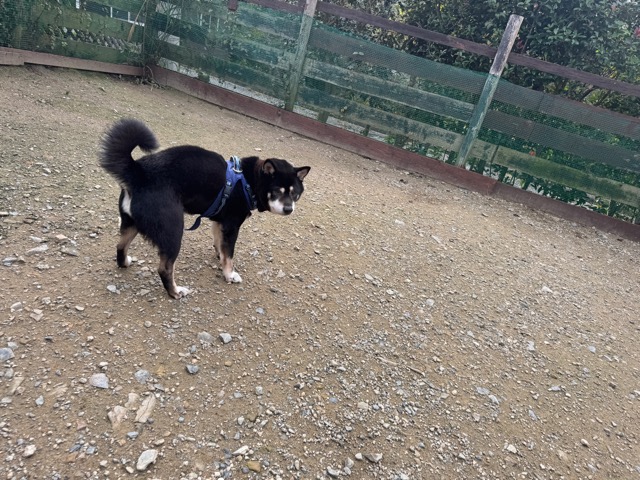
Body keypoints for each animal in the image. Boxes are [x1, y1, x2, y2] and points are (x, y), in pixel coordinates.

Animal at [99, 118, 310, 299]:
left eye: (295, 194)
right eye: (277, 191)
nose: (289, 209)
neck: (248, 181)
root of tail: (139, 173)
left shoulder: (219, 222)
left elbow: (220, 245)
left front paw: (219, 256)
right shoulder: (232, 226)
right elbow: (229, 254)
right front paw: (229, 274)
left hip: (131, 223)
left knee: (120, 246)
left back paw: (124, 263)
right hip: (172, 231)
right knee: (165, 268)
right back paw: (175, 292)